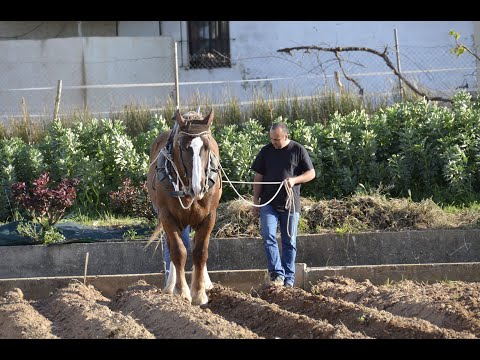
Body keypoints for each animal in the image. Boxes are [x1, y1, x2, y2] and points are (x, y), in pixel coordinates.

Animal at [147, 107, 222, 304]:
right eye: (182, 147)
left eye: (207, 146)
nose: (198, 187)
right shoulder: (167, 216)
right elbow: (178, 252)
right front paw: (181, 292)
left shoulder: (209, 216)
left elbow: (200, 251)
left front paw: (200, 293)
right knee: (174, 248)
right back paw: (171, 285)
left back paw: (205, 282)